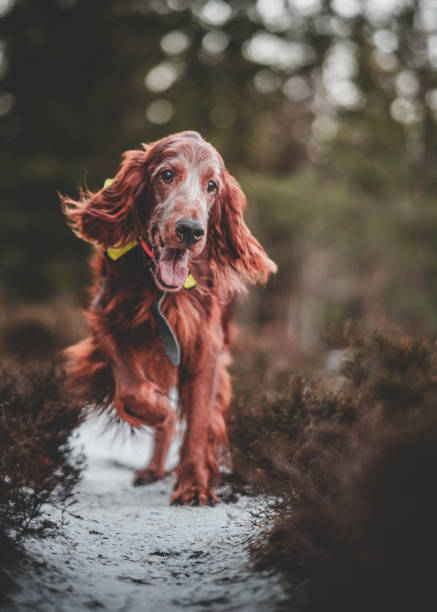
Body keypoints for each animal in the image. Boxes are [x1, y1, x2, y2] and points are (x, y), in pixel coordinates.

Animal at [60, 131, 276, 504]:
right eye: (166, 175)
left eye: (212, 185)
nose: (190, 230)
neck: (161, 291)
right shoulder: (106, 319)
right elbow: (132, 389)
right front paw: (162, 413)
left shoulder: (205, 344)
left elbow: (199, 421)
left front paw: (193, 484)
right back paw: (153, 464)